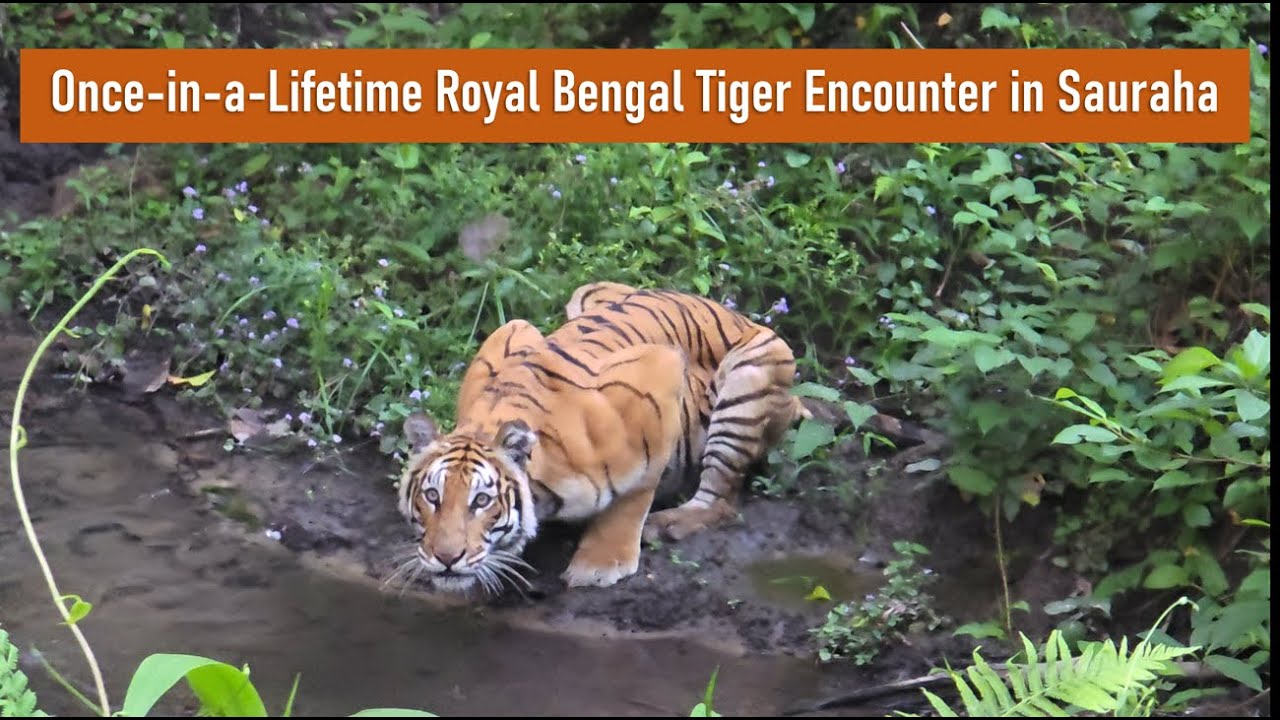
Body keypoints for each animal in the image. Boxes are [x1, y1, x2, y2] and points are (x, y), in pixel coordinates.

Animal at [395, 281, 810, 594]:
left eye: (481, 501)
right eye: (432, 496)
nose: (446, 558)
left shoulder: (658, 372)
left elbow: (634, 491)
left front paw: (600, 565)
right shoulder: (511, 330)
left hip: (749, 378)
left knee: (721, 499)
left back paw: (669, 523)